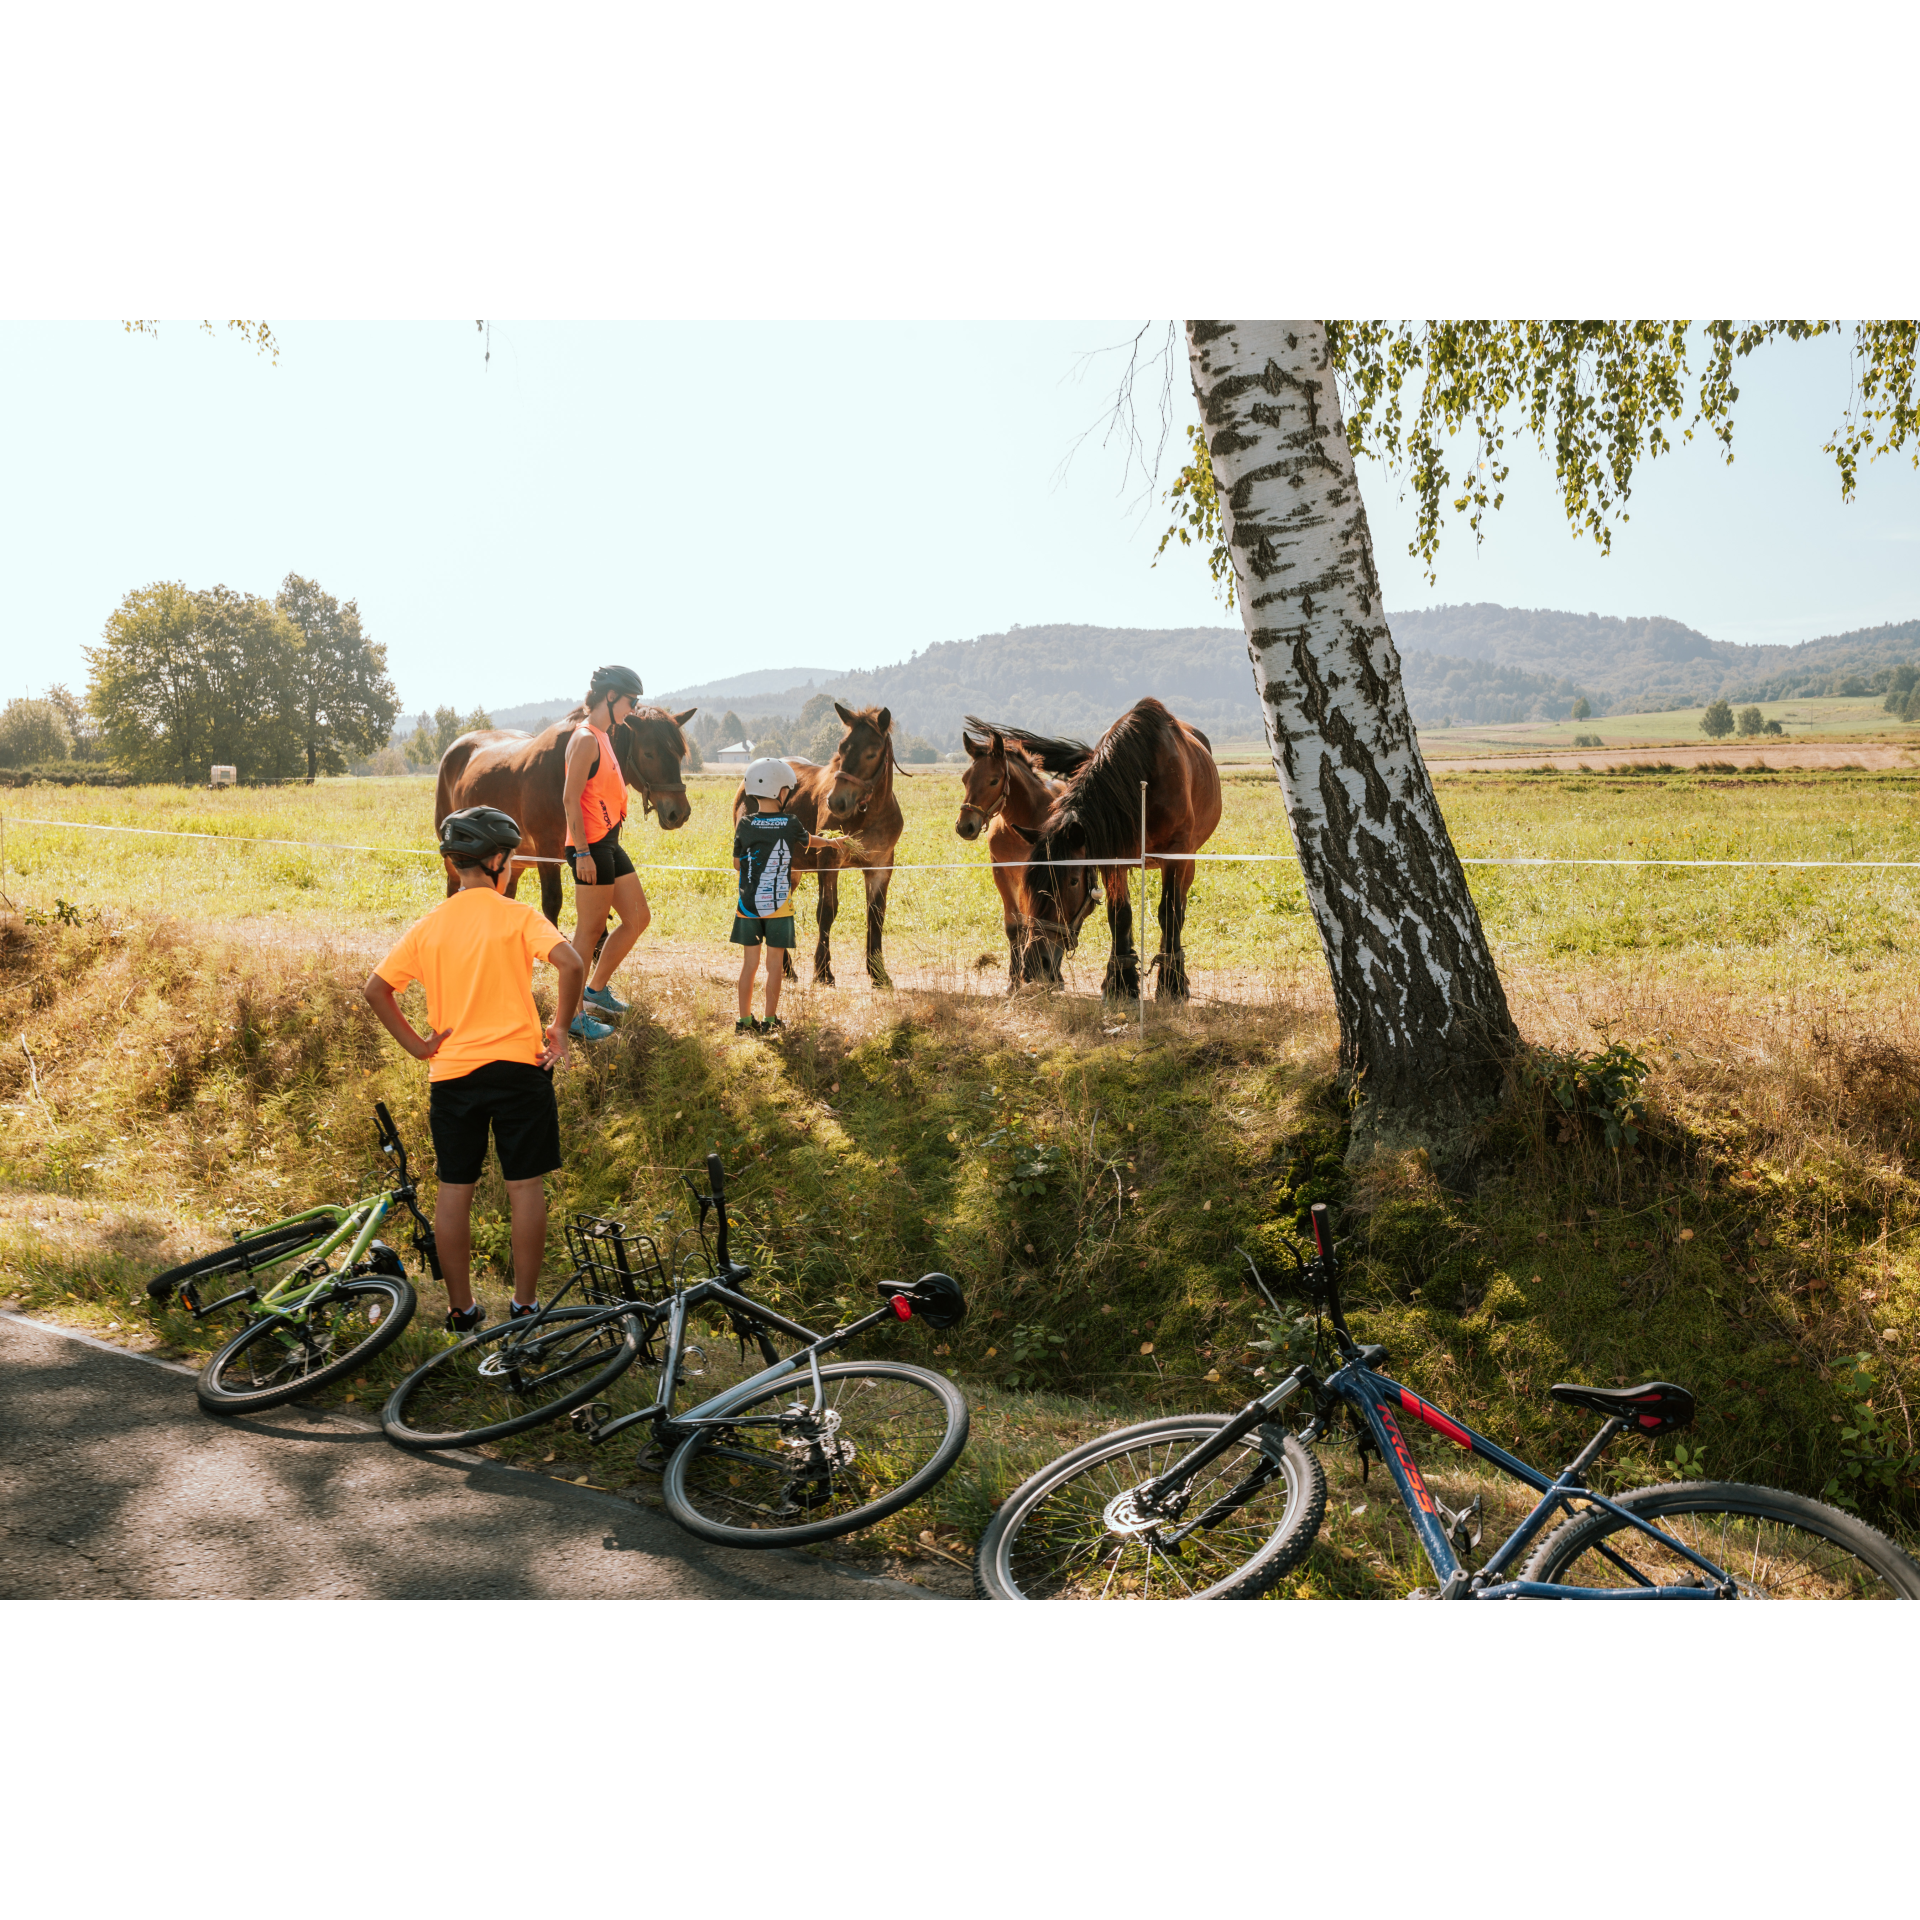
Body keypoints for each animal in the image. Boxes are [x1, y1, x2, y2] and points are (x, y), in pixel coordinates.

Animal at [737, 698, 910, 983]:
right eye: (841, 747)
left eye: (872, 753)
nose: (837, 802)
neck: (868, 813)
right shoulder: (828, 861)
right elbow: (827, 911)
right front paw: (823, 971)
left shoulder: (880, 866)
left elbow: (876, 914)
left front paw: (878, 973)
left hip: (791, 870)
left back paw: (787, 968)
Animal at [1006, 706, 1213, 1006]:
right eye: (1028, 882)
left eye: (1072, 882)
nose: (1035, 964)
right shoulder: (1115, 858)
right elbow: (1119, 915)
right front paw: (1121, 983)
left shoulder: (1175, 854)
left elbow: (1170, 912)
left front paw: (1171, 984)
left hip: (1188, 860)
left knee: (1178, 909)